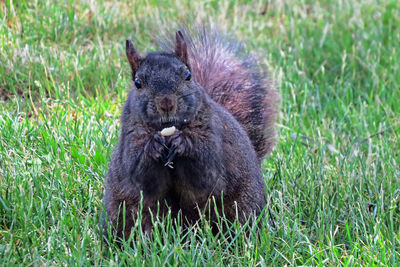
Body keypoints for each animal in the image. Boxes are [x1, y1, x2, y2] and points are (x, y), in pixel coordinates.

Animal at [101, 29, 280, 239]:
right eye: (138, 83)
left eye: (187, 75)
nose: (167, 103)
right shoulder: (130, 139)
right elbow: (140, 177)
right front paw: (153, 146)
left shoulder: (214, 137)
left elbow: (206, 172)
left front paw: (183, 143)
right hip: (123, 210)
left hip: (243, 204)